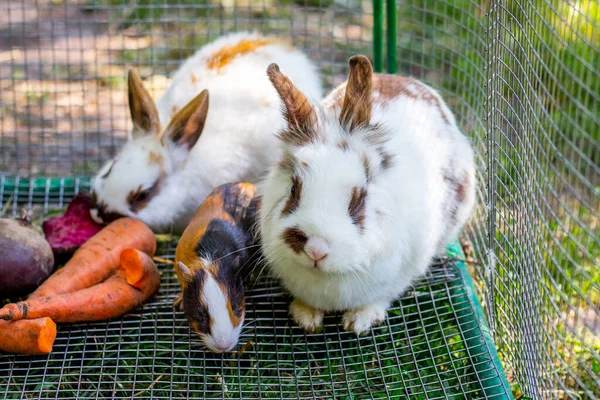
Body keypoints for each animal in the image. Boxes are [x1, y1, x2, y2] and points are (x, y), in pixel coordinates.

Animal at [258, 54, 474, 334]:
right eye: (294, 189)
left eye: (358, 200)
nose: (316, 249)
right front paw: (306, 317)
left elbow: (381, 297)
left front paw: (359, 321)